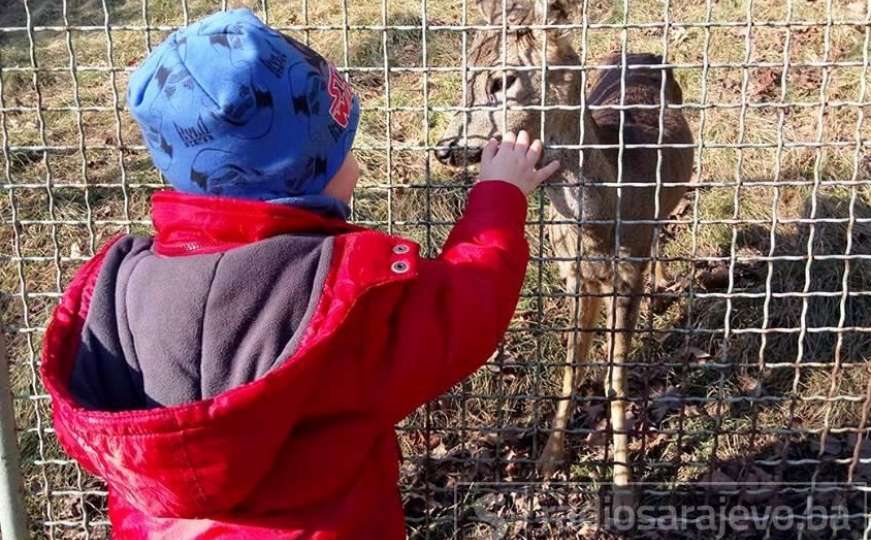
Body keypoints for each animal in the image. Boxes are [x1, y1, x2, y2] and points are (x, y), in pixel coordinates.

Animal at [436, 0, 696, 502]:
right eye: (465, 73)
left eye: (502, 80)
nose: (445, 148)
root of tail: (642, 52)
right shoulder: (573, 274)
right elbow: (573, 360)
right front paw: (550, 458)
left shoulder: (626, 272)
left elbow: (616, 377)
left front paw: (624, 488)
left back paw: (662, 285)